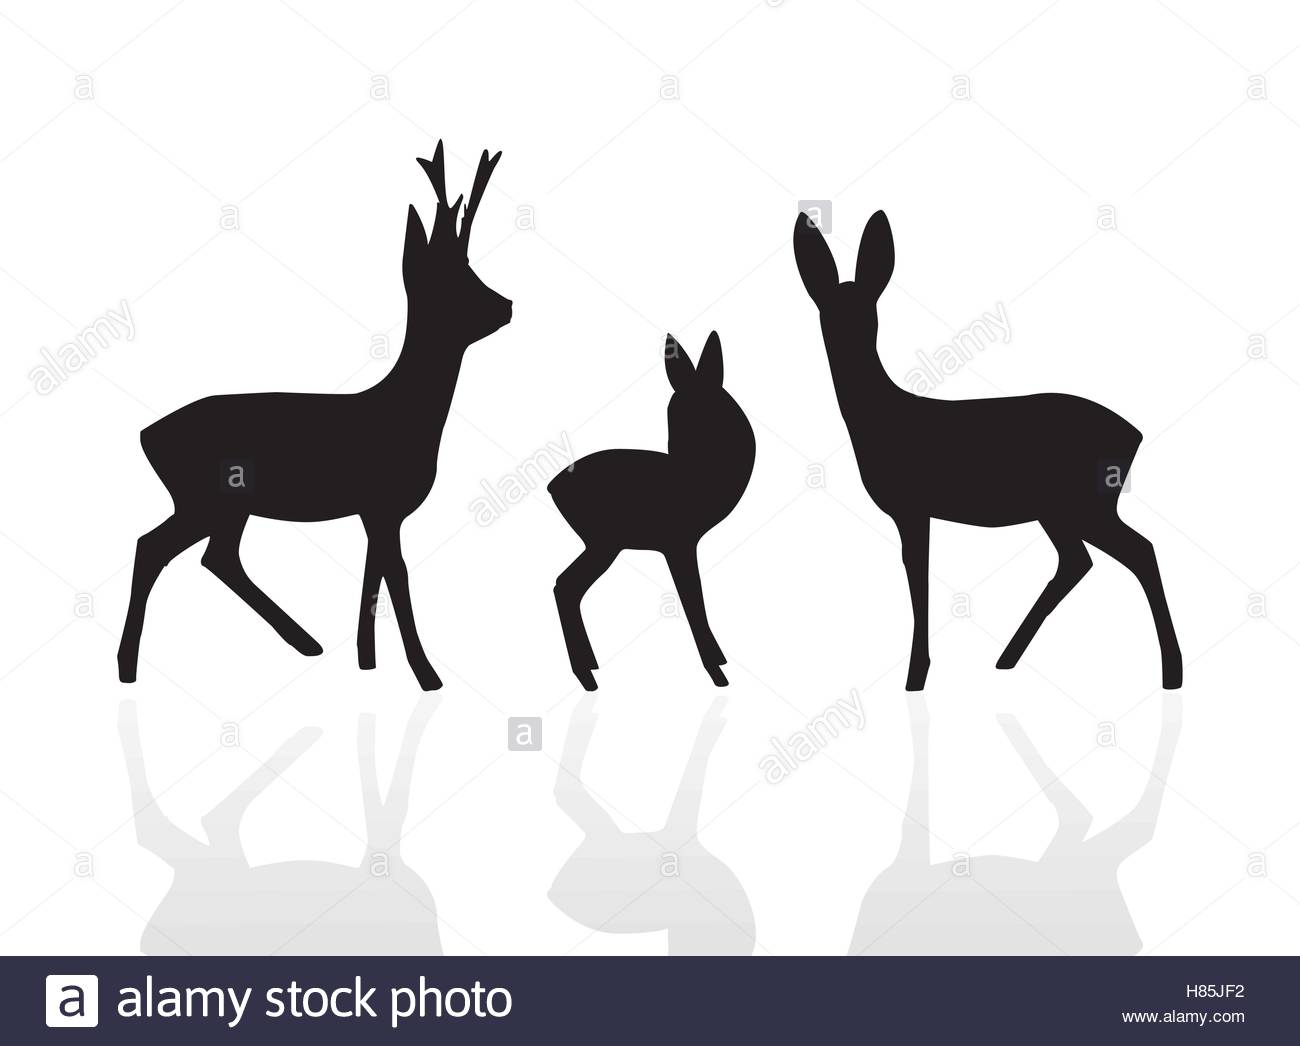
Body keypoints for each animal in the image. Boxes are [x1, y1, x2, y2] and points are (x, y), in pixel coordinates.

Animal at [116, 142, 511, 691]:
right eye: (454, 281)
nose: (507, 305)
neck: (408, 416)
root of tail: (146, 436)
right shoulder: (384, 505)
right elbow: (397, 576)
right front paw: (426, 674)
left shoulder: (374, 511)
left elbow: (373, 575)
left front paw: (367, 662)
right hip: (204, 498)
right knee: (153, 547)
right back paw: (127, 666)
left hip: (225, 505)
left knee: (217, 557)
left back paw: (306, 642)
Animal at [549, 333, 755, 691]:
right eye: (672, 414)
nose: (679, 457)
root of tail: (551, 487)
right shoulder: (679, 543)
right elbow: (692, 599)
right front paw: (717, 673)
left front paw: (720, 663)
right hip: (604, 543)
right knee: (565, 585)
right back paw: (587, 677)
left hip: (603, 544)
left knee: (566, 586)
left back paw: (591, 668)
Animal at [793, 211, 1182, 691]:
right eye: (826, 309)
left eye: (870, 311)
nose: (845, 338)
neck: (881, 420)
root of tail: (1135, 435)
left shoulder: (911, 507)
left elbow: (917, 575)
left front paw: (915, 676)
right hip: (1058, 509)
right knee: (1079, 560)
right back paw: (1007, 658)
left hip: (1083, 503)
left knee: (1138, 550)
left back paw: (1171, 671)